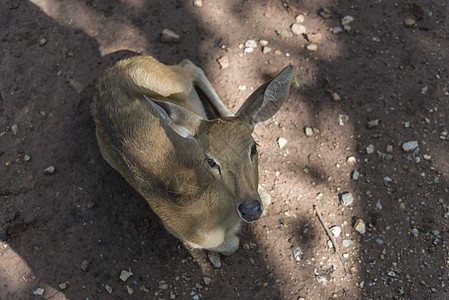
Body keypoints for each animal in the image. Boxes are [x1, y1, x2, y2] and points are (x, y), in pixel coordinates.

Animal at [93, 56, 292, 255]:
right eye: (210, 160)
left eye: (254, 148)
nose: (250, 210)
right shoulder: (177, 231)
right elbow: (233, 244)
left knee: (189, 66)